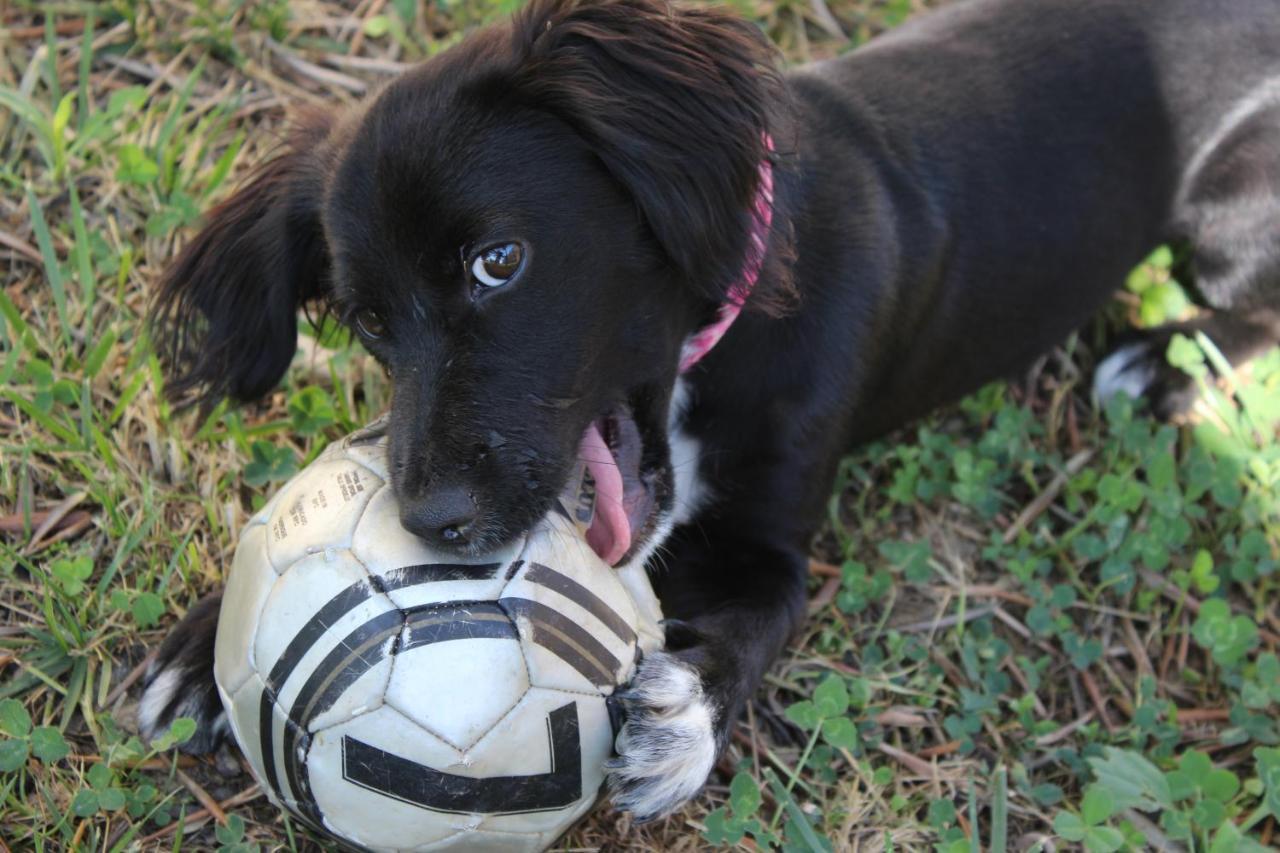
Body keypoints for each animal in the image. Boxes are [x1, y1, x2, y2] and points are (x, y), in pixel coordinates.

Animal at [140, 0, 1280, 824]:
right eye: (368, 321)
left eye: (498, 260)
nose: (431, 525)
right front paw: (205, 648)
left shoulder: (773, 544)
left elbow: (758, 618)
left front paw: (683, 717)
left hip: (1229, 229)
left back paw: (1161, 368)